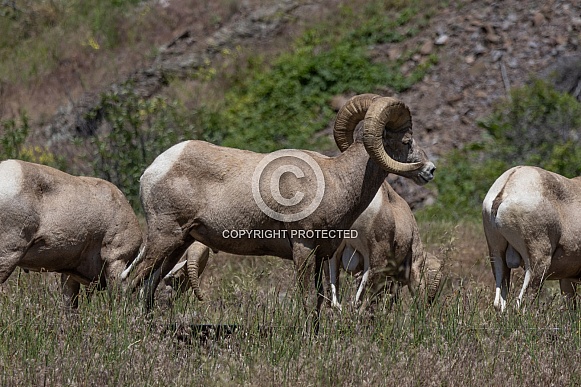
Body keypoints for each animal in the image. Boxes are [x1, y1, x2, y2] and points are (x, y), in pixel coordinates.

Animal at [128, 94, 436, 324]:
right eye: (406, 141)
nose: (430, 170)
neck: (337, 181)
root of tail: (153, 170)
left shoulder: (323, 255)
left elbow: (320, 299)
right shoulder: (302, 247)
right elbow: (307, 298)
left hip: (178, 243)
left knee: (149, 284)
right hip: (164, 237)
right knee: (132, 279)